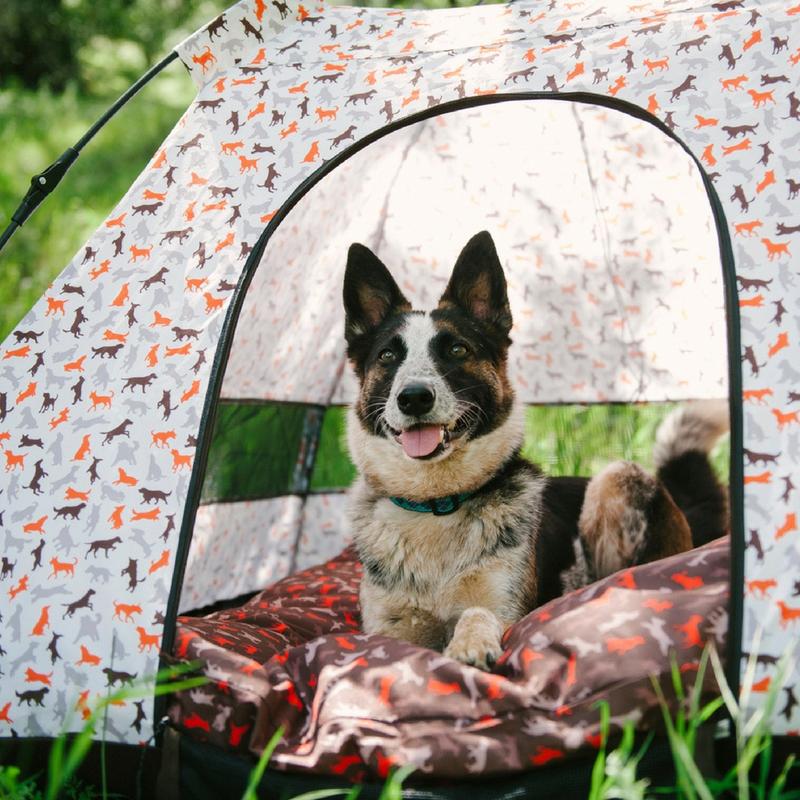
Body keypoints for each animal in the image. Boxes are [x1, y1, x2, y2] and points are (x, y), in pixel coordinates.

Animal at [344, 230, 732, 668]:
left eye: (457, 350)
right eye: (388, 355)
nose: (413, 398)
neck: (435, 506)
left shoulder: (507, 606)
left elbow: (478, 612)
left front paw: (470, 642)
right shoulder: (388, 629)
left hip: (616, 477)